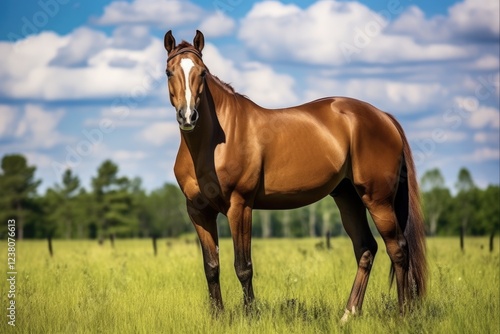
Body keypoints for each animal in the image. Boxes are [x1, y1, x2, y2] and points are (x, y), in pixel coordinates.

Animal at [163, 30, 426, 320]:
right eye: (168, 72)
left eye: (202, 72)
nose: (188, 116)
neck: (213, 143)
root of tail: (384, 117)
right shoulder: (199, 212)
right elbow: (211, 266)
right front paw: (218, 318)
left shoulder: (240, 206)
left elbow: (243, 266)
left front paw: (250, 316)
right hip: (348, 198)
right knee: (366, 248)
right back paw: (348, 314)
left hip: (377, 199)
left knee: (398, 249)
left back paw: (404, 315)